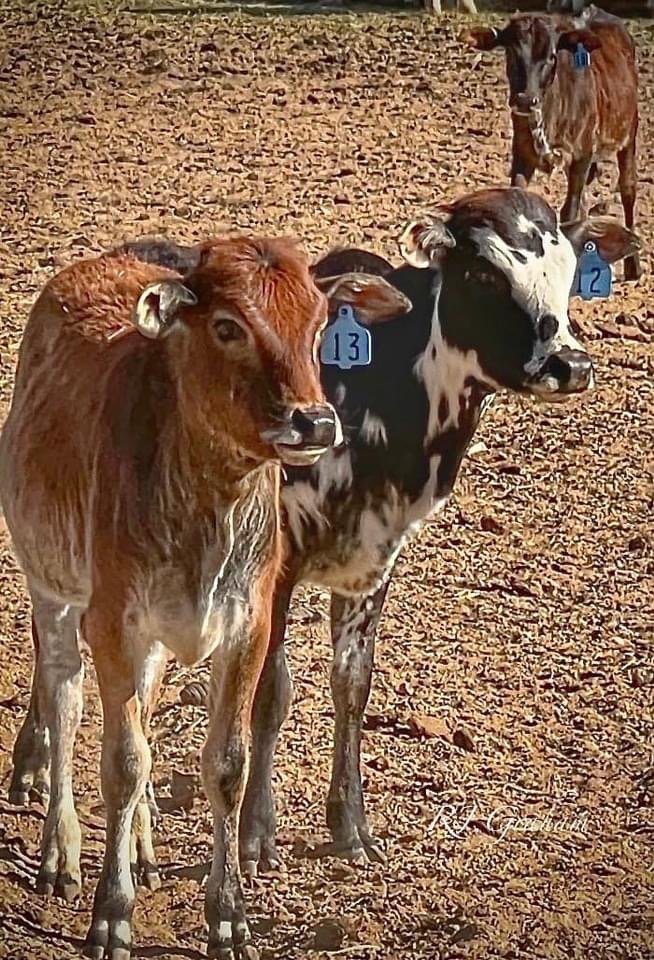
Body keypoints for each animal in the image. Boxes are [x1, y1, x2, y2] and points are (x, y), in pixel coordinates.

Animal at [0, 239, 412, 960]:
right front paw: (111, 918)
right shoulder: (113, 620)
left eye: (320, 325)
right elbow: (122, 761)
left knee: (139, 709)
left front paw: (229, 920)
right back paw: (61, 853)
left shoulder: (246, 623)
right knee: (64, 696)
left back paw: (142, 851)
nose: (315, 421)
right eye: (227, 326)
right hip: (49, 583)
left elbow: (225, 765)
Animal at [464, 7, 641, 280]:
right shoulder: (522, 154)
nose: (525, 100)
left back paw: (634, 266)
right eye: (511, 50)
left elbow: (569, 212)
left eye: (551, 56)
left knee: (628, 189)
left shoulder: (582, 156)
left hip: (629, 132)